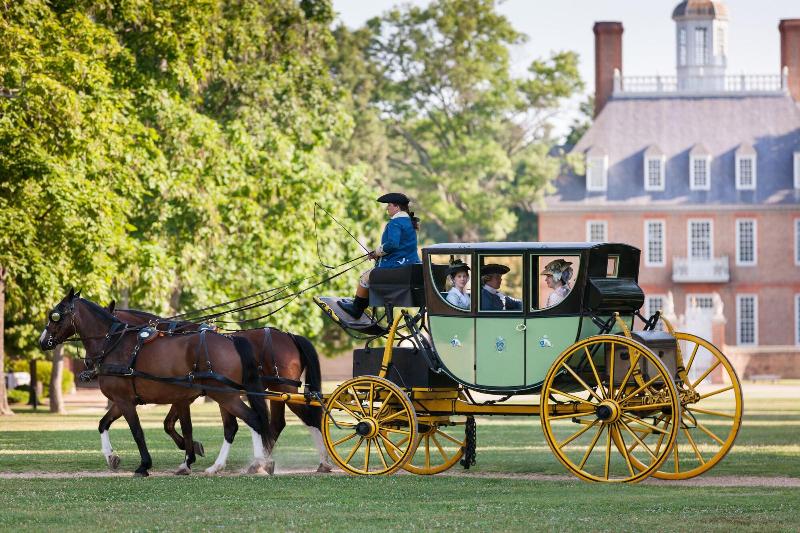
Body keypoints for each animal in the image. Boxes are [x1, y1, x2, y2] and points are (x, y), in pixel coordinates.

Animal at [39, 288, 276, 476]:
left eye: (55, 315)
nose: (42, 341)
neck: (113, 344)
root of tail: (231, 339)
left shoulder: (127, 401)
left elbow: (138, 432)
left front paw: (145, 465)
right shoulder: (127, 400)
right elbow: (103, 423)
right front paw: (111, 457)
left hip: (224, 394)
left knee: (253, 420)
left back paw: (258, 462)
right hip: (224, 395)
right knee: (235, 426)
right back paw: (222, 465)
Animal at [106, 304, 332, 474]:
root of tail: (289, 336)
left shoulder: (184, 395)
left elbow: (173, 425)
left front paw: (189, 454)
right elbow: (170, 424)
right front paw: (191, 450)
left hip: (282, 387)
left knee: (308, 418)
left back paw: (321, 461)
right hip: (276, 390)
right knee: (276, 423)